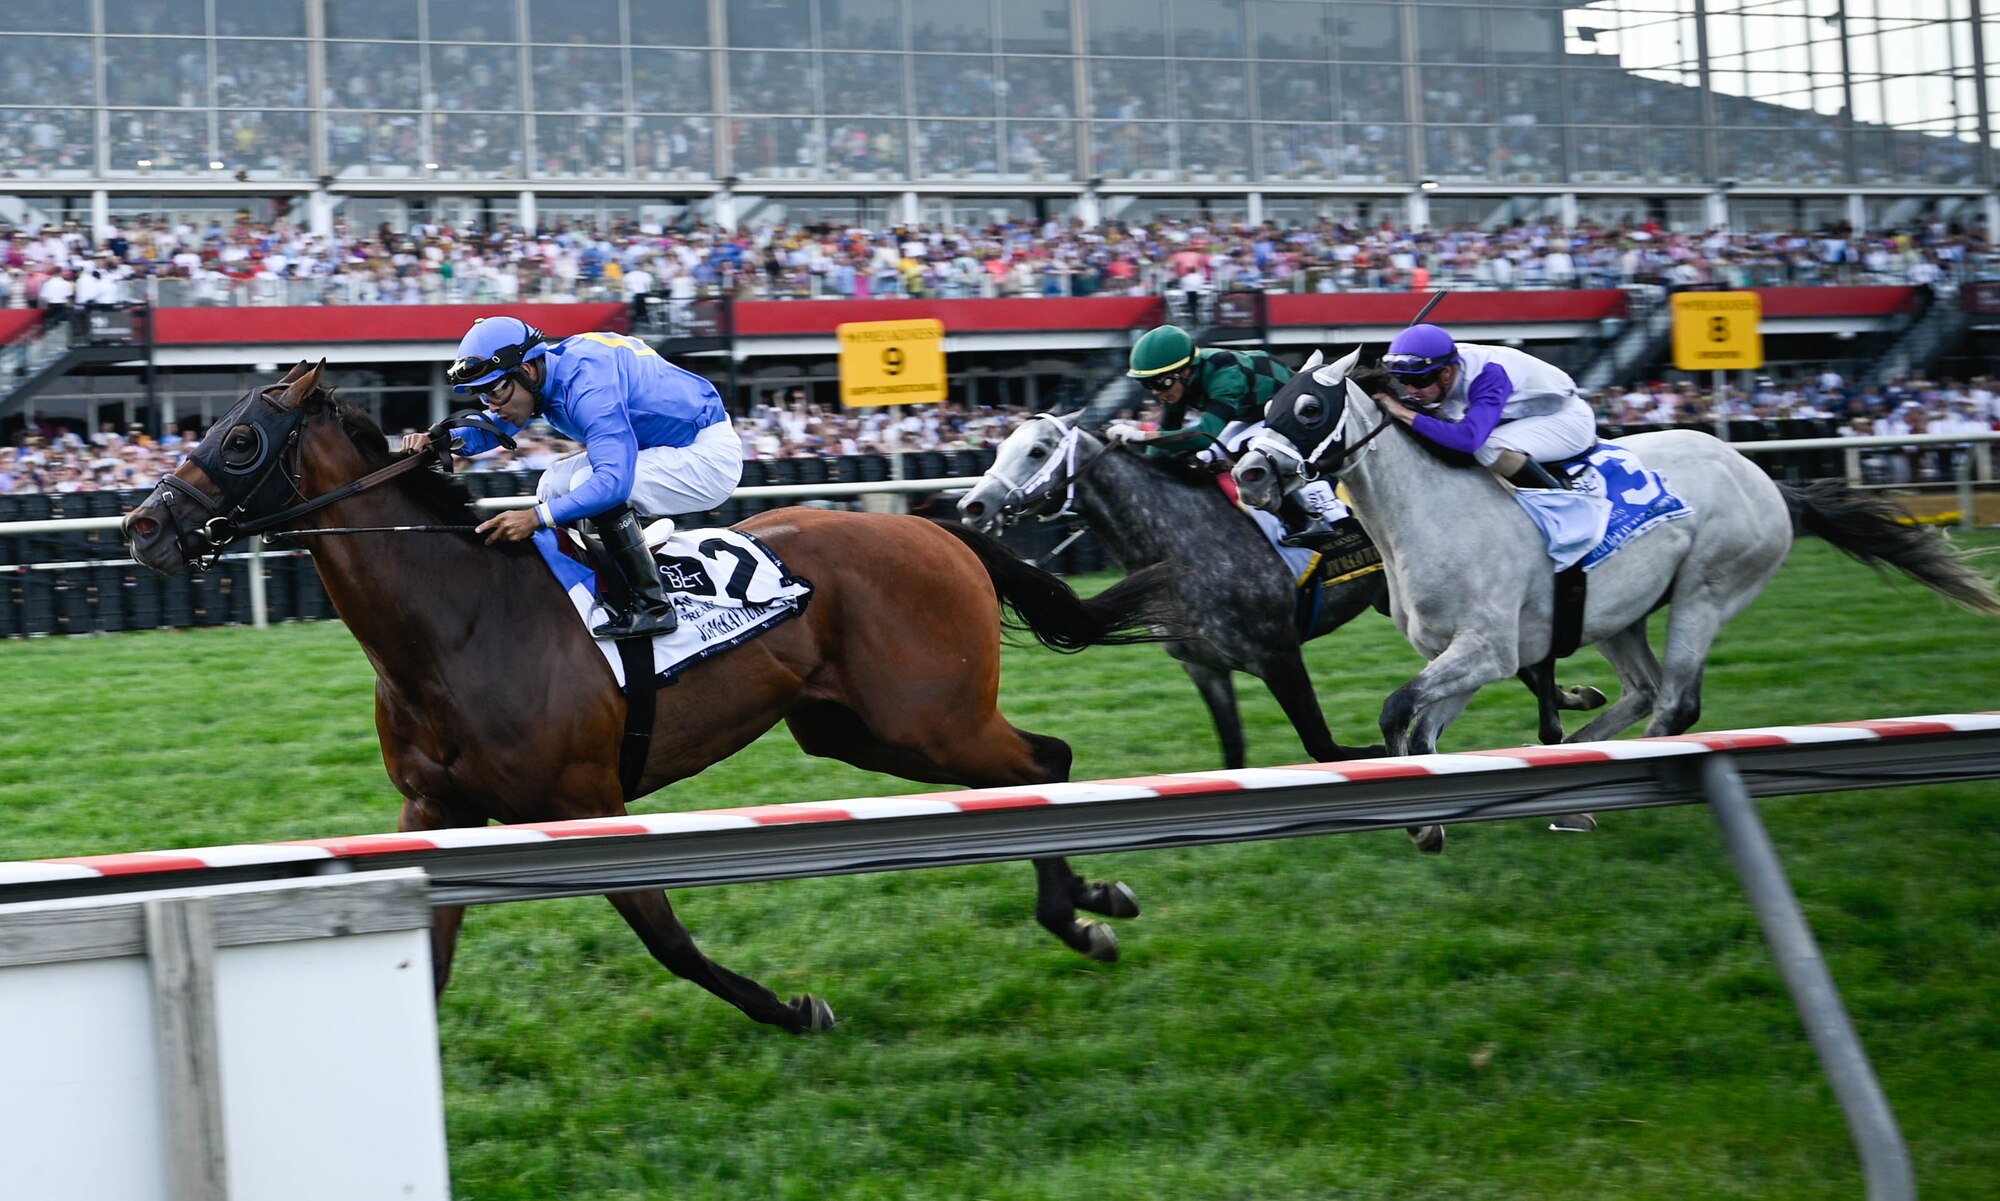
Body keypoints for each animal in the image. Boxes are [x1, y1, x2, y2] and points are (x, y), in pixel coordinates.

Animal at [1232, 346, 2000, 772]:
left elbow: (1400, 711)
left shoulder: (1489, 649)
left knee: (1677, 702)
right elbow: (1421, 731)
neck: (1430, 514)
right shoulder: (1465, 656)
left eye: (1308, 408)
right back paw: (1572, 752)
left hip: (1705, 592)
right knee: (1643, 690)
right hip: (1617, 613)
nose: (1250, 474)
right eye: (1265, 407)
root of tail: (1765, 478)